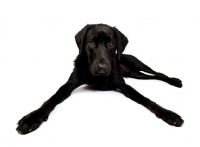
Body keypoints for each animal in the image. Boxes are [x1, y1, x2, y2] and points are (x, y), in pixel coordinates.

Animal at [16, 23, 184, 134]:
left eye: (111, 44)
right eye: (91, 43)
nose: (102, 68)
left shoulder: (123, 85)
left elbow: (145, 99)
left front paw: (168, 114)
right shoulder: (69, 85)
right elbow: (51, 99)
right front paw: (32, 117)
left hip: (137, 64)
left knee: (158, 73)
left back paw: (175, 81)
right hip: (136, 74)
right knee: (150, 76)